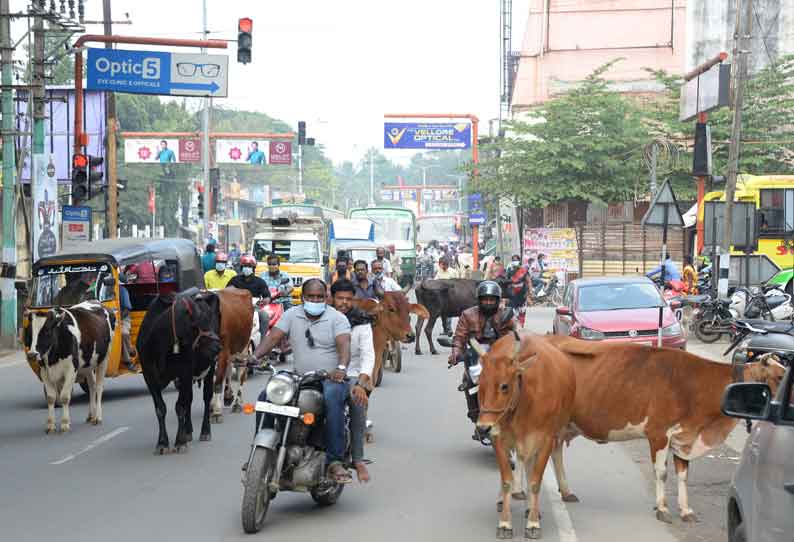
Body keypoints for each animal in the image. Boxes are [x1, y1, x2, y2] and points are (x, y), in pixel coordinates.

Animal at [25, 304, 115, 436]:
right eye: (29, 332)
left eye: (47, 331)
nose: (32, 354)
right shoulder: (44, 371)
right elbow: (51, 398)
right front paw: (50, 425)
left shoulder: (71, 370)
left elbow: (64, 396)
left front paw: (65, 424)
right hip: (88, 365)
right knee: (92, 386)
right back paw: (91, 415)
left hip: (104, 359)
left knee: (99, 387)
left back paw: (98, 417)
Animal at [136, 292, 223, 456]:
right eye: (196, 324)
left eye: (210, 319)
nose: (218, 346)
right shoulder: (149, 375)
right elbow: (161, 408)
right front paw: (162, 443)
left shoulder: (185, 371)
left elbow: (180, 406)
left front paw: (180, 442)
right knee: (189, 399)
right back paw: (187, 431)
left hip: (210, 367)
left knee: (206, 397)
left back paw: (205, 432)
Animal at [209, 286, 252, 422]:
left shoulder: (223, 350)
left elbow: (217, 382)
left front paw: (216, 412)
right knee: (228, 369)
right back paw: (228, 396)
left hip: (243, 346)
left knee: (241, 373)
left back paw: (237, 403)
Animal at [474, 334, 572, 540]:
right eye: (480, 384)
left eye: (504, 386)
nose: (483, 428)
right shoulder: (498, 438)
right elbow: (506, 481)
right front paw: (505, 524)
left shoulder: (546, 440)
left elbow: (535, 482)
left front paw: (533, 523)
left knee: (529, 468)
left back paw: (531, 509)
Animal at [540, 340, 784, 528]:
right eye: (781, 377)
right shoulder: (658, 434)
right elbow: (662, 473)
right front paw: (662, 509)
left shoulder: (684, 437)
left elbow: (683, 475)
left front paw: (686, 510)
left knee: (555, 451)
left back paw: (566, 491)